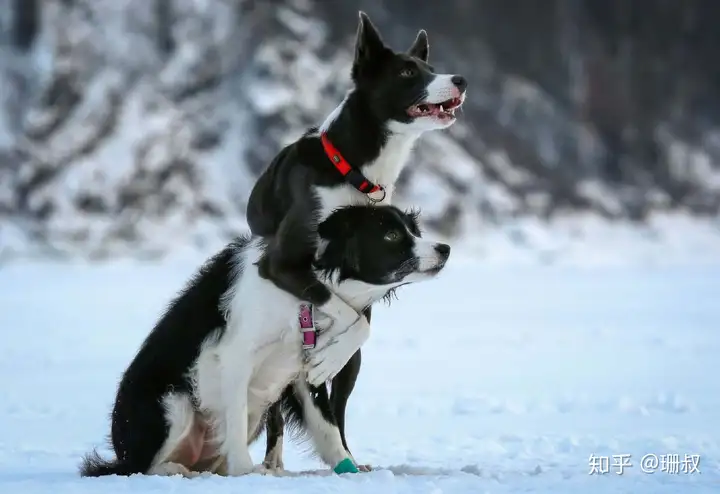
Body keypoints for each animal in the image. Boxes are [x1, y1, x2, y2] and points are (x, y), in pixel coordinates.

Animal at [79, 205, 450, 478]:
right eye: (391, 235)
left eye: (414, 231)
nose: (444, 248)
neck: (300, 295)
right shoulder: (234, 356)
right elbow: (235, 414)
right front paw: (248, 471)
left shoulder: (304, 367)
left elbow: (327, 426)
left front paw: (351, 468)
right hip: (173, 402)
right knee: (141, 467)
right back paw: (179, 470)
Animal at [248, 11, 470, 470]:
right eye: (408, 72)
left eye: (431, 67)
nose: (460, 79)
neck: (355, 170)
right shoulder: (281, 264)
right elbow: (338, 309)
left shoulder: (367, 283)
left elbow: (359, 325)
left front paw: (328, 355)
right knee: (275, 409)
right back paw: (273, 462)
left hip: (353, 369)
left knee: (338, 404)